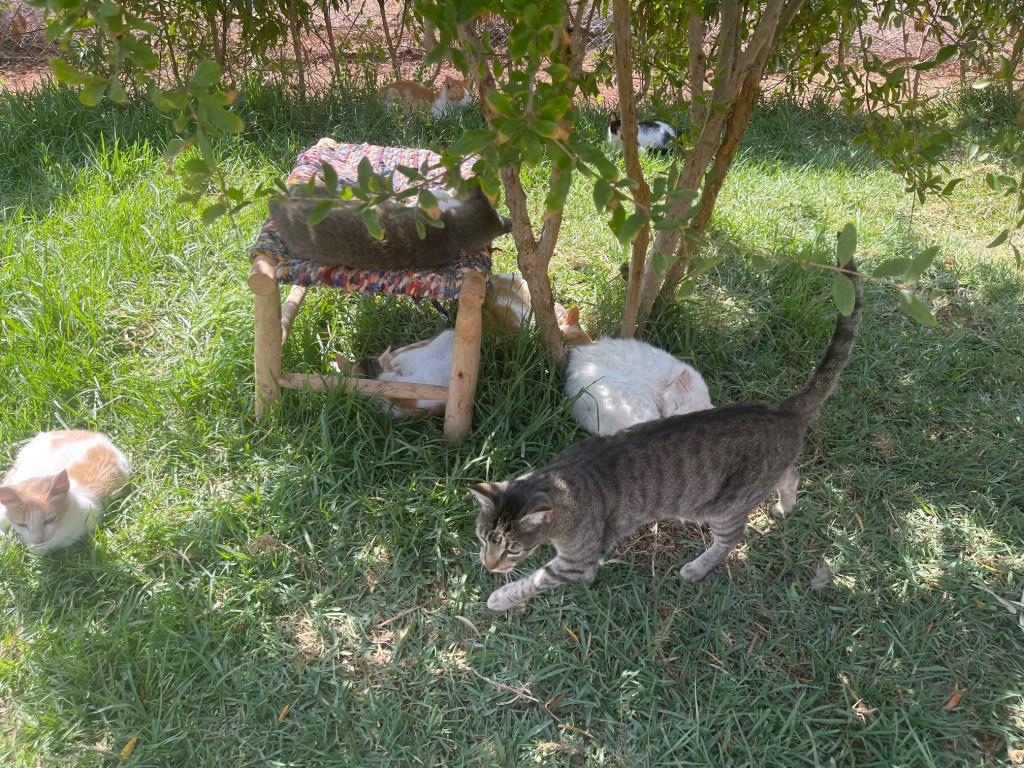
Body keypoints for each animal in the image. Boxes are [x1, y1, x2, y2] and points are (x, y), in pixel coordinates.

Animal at [0, 430, 131, 553]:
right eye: (21, 524)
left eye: (50, 520)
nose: (38, 539)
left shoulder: (89, 516)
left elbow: (48, 544)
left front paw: (32, 546)